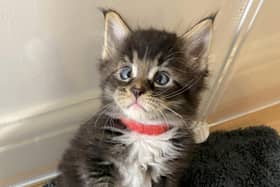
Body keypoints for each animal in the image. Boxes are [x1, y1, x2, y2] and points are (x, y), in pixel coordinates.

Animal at [58, 9, 213, 187]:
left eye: (162, 79)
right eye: (126, 73)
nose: (136, 90)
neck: (144, 133)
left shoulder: (170, 173)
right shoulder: (93, 159)